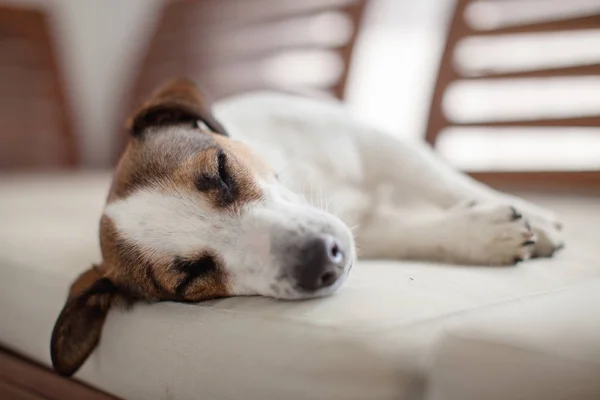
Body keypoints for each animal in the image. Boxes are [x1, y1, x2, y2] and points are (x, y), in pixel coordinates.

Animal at [50, 77, 564, 376]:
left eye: (220, 169)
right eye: (192, 278)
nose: (320, 259)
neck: (307, 179)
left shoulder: (374, 142)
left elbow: (444, 181)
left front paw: (529, 216)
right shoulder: (368, 228)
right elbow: (415, 233)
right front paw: (481, 235)